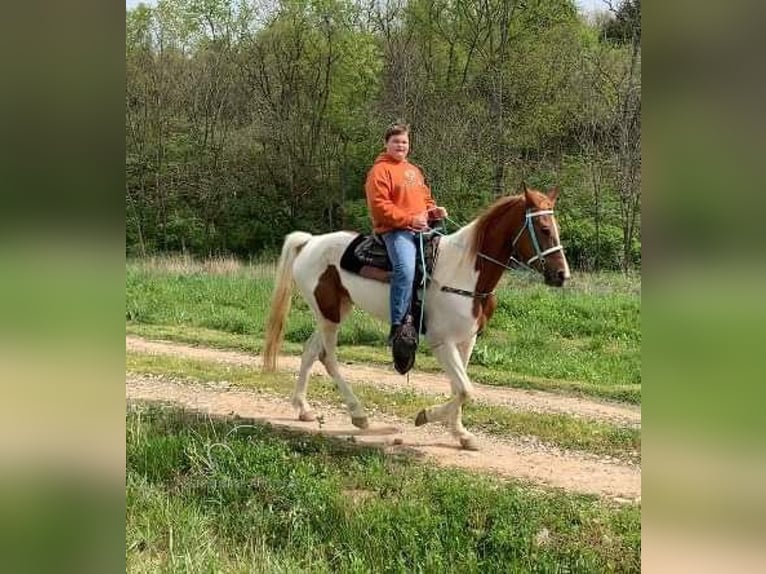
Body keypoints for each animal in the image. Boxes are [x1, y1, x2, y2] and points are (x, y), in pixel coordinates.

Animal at [264, 187, 568, 452]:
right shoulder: (442, 343)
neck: (466, 272)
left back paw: (303, 408)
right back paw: (358, 413)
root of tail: (310, 242)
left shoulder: (466, 341)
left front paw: (461, 435)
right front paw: (425, 416)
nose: (561, 275)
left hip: (335, 310)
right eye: (543, 229)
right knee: (327, 356)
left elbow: (460, 388)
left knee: (310, 351)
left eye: (556, 228)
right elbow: (465, 390)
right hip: (329, 315)